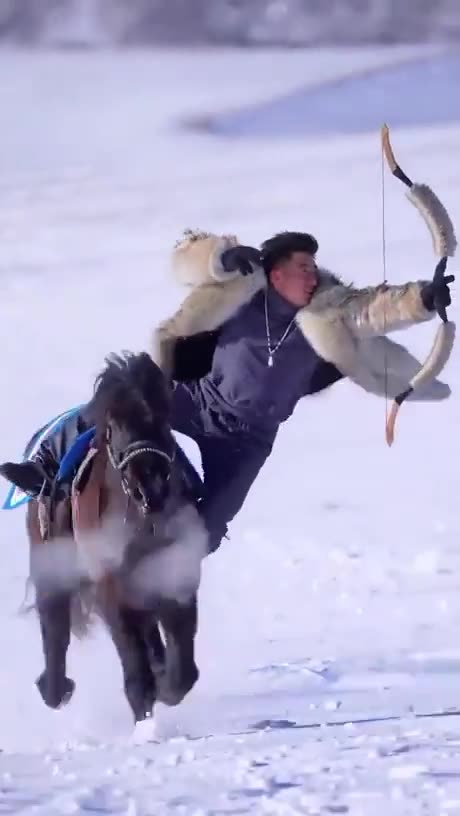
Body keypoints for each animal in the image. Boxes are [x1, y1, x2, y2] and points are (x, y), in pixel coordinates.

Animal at [1, 351, 208, 724]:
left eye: (163, 419)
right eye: (114, 427)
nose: (149, 486)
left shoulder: (175, 574)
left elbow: (182, 669)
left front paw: (166, 684)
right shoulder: (111, 588)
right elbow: (136, 670)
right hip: (52, 562)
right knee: (55, 627)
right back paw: (55, 688)